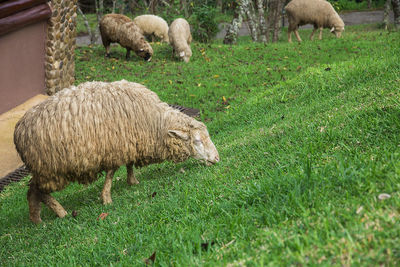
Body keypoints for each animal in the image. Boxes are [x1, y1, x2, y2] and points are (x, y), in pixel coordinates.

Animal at [13, 80, 219, 224]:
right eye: (197, 141)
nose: (217, 158)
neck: (154, 122)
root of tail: (19, 130)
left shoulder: (128, 143)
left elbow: (129, 164)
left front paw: (132, 181)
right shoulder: (114, 149)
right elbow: (111, 174)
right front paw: (106, 198)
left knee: (33, 192)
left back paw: (36, 218)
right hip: (49, 169)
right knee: (36, 190)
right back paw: (59, 213)